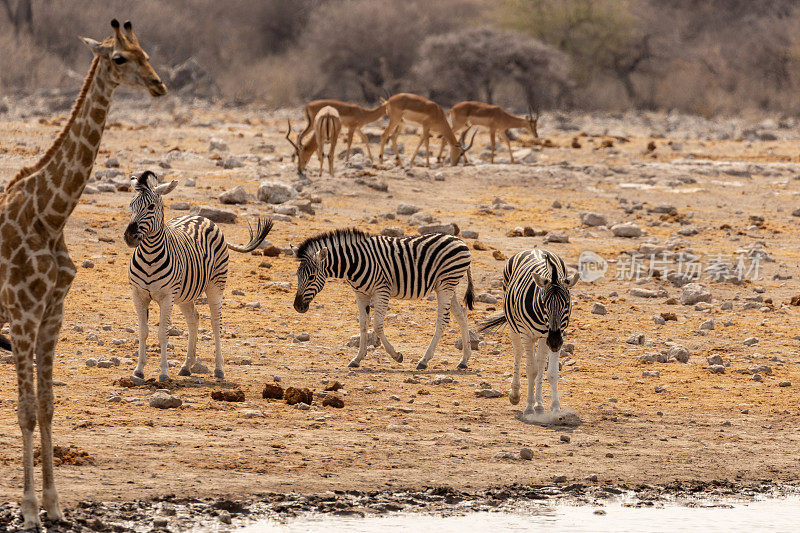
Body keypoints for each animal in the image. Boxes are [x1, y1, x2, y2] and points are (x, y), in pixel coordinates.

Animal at [0, 19, 166, 528]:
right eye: (119, 58)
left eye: (146, 51)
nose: (159, 85)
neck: (51, 215)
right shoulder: (23, 313)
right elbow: (26, 410)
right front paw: (28, 510)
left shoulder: (52, 313)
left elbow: (48, 406)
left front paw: (53, 505)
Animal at [123, 169, 274, 378]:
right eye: (131, 205)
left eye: (151, 206)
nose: (129, 237)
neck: (149, 257)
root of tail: (204, 218)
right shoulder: (138, 295)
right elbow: (143, 332)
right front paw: (138, 370)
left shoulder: (167, 296)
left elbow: (163, 333)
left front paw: (163, 373)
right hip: (184, 295)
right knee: (194, 319)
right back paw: (187, 365)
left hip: (215, 286)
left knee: (216, 323)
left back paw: (219, 369)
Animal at [294, 229, 476, 370]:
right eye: (297, 275)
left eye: (311, 277)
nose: (297, 307)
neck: (355, 262)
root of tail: (459, 240)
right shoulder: (360, 293)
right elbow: (363, 324)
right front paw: (357, 358)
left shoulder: (382, 290)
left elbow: (377, 325)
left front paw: (396, 355)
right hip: (446, 286)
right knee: (461, 314)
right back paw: (464, 360)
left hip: (446, 283)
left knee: (442, 320)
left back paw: (424, 361)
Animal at [478, 249, 580, 416]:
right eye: (544, 303)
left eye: (566, 303)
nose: (554, 342)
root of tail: (535, 249)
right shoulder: (527, 334)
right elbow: (531, 370)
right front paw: (529, 407)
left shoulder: (551, 335)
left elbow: (551, 372)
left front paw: (555, 408)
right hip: (514, 327)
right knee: (519, 353)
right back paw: (515, 394)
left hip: (542, 338)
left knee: (540, 363)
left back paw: (539, 404)